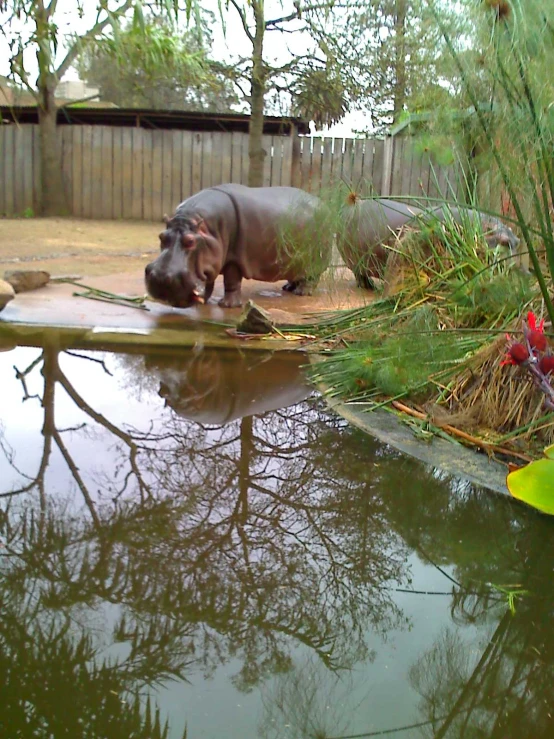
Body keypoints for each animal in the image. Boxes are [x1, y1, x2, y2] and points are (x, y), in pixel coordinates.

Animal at [143, 188, 328, 312]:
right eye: (161, 236)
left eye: (190, 241)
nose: (160, 278)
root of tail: (322, 203)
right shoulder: (210, 259)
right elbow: (208, 281)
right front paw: (206, 300)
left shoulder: (233, 259)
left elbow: (231, 281)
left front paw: (227, 306)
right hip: (295, 262)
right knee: (297, 274)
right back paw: (288, 288)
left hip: (315, 259)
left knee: (312, 277)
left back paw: (302, 293)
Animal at [334, 198, 520, 290]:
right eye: (504, 242)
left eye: (517, 242)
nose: (518, 272)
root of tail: (348, 207)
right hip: (354, 261)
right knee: (359, 275)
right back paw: (368, 287)